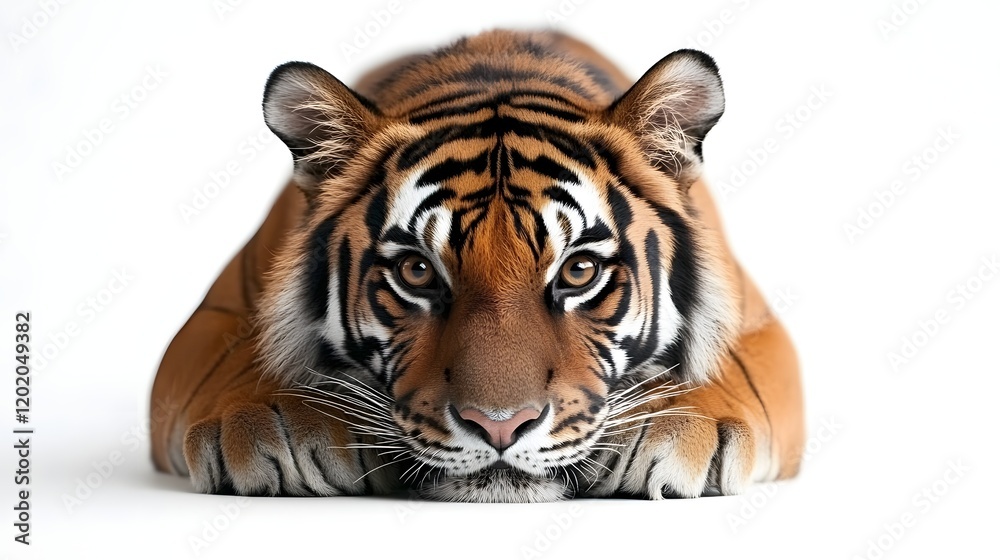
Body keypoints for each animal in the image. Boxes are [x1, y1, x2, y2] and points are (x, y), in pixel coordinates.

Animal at [150, 29, 804, 502]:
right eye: (416, 272)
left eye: (578, 272)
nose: (498, 427)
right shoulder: (211, 320)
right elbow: (237, 358)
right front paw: (274, 420)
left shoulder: (759, 328)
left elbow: (730, 369)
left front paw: (677, 422)